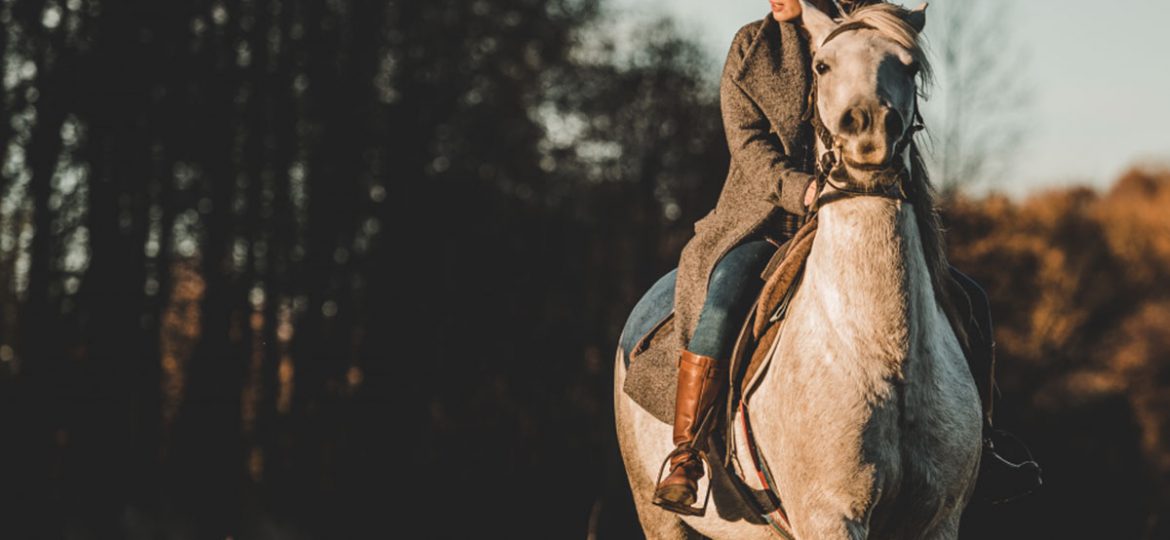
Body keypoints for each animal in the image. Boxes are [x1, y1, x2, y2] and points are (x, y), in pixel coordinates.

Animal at [617, 2, 982, 537]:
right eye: (822, 66)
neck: (881, 349)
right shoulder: (830, 514)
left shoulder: (939, 518)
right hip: (658, 515)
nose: (868, 129)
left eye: (910, 66)